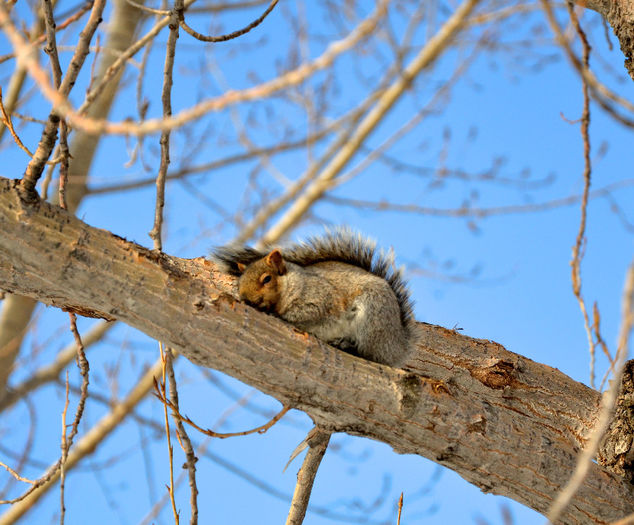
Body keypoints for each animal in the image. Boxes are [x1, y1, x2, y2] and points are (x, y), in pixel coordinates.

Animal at [212, 231, 418, 366]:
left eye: (267, 279)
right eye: (239, 284)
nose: (247, 299)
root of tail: (398, 346)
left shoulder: (321, 299)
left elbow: (309, 313)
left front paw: (275, 314)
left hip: (373, 316)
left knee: (371, 354)